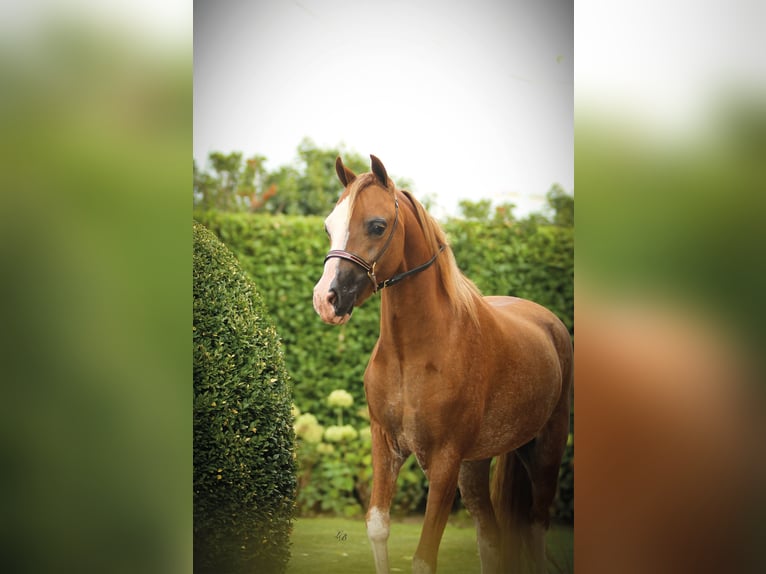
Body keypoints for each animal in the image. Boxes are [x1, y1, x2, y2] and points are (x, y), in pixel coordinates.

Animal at [310, 155, 568, 572]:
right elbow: (378, 528)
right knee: (491, 538)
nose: (325, 299)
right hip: (474, 467)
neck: (412, 355)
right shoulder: (385, 443)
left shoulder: (445, 459)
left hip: (546, 451)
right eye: (329, 225)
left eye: (377, 225)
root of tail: (549, 322)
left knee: (535, 530)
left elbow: (423, 558)